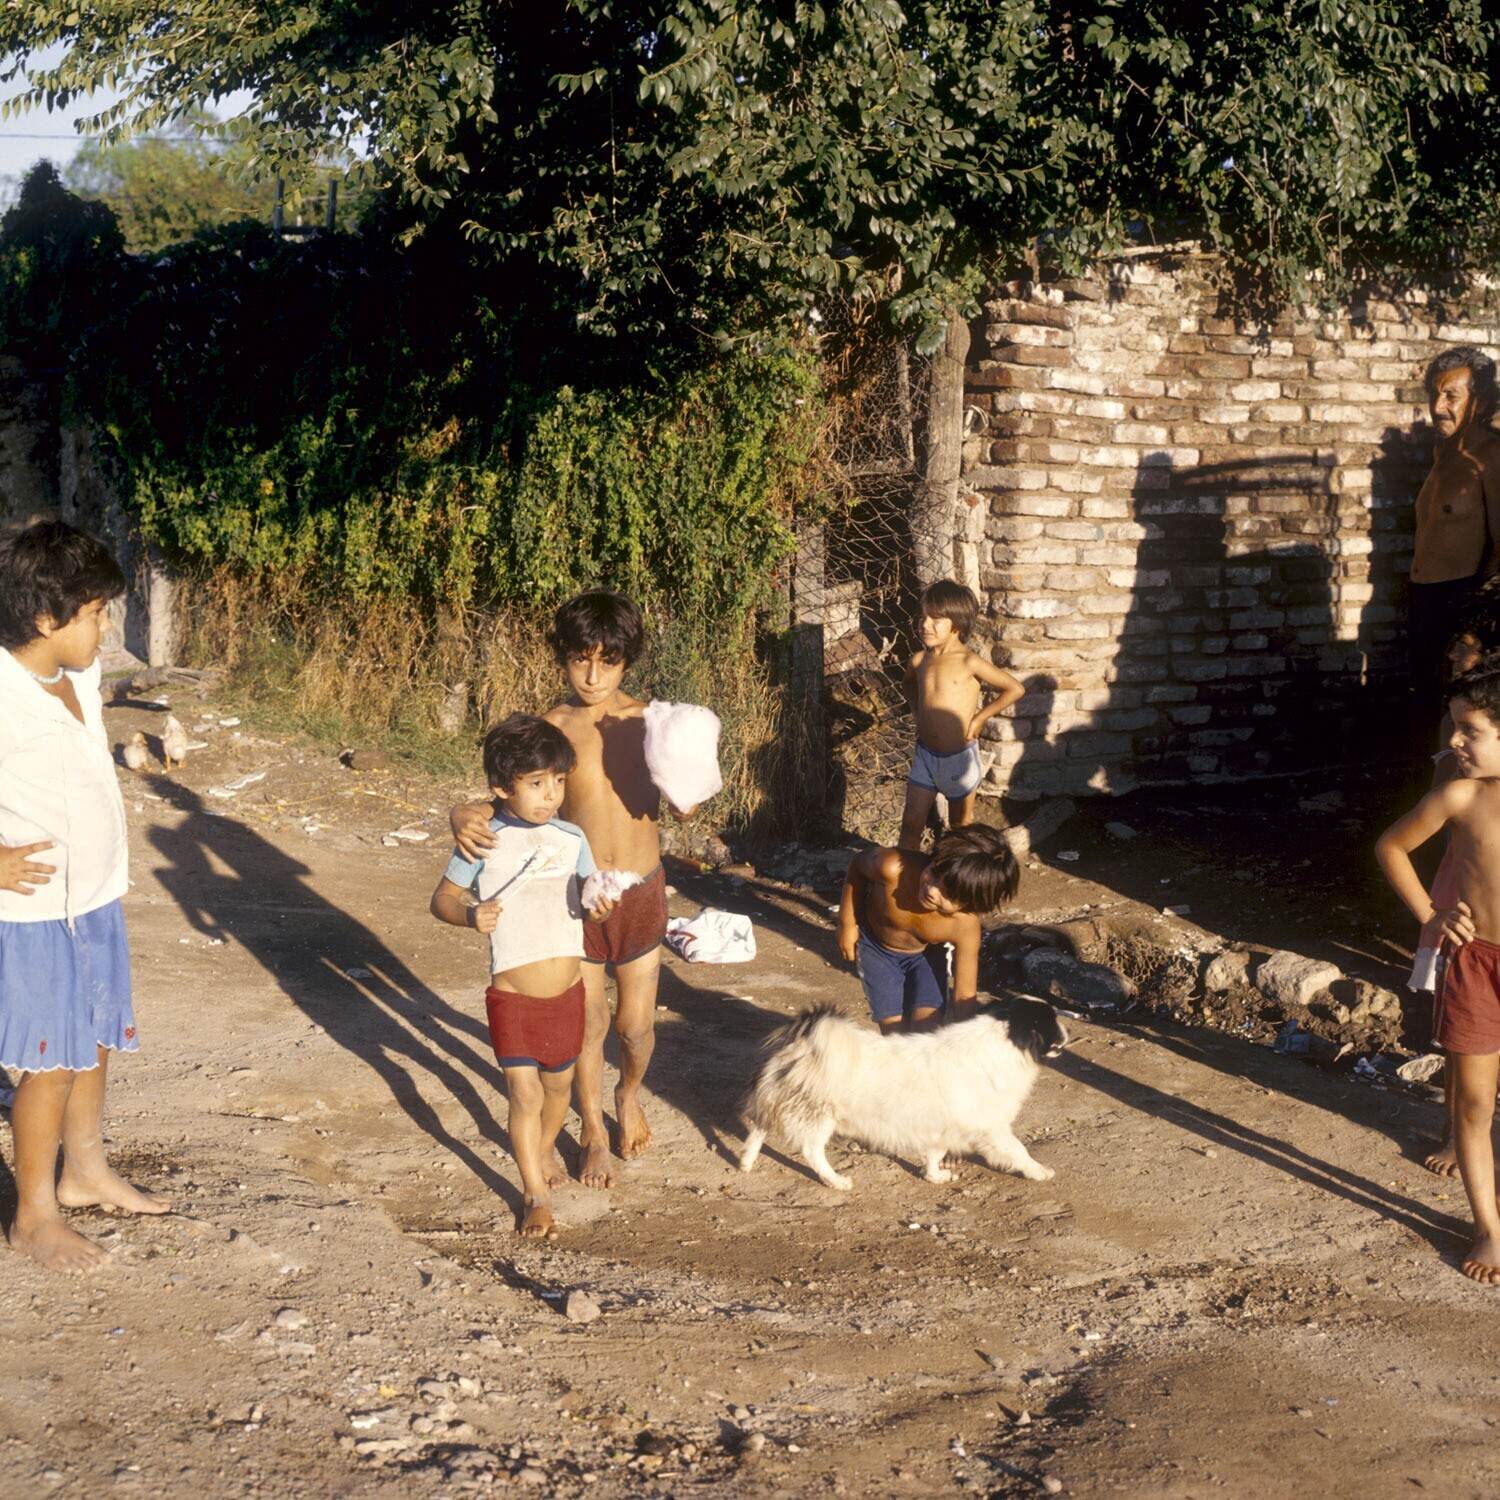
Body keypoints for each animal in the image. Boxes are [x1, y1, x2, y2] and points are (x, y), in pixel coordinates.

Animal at [737, 996, 1067, 1191]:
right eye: (1050, 1022)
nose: (1068, 1030)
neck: (1004, 1041)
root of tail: (805, 1043)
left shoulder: (939, 1125)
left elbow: (934, 1153)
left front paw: (934, 1176)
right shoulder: (994, 1128)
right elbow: (1019, 1151)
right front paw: (1039, 1172)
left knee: (759, 1127)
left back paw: (746, 1162)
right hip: (818, 1116)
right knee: (811, 1150)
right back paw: (835, 1180)